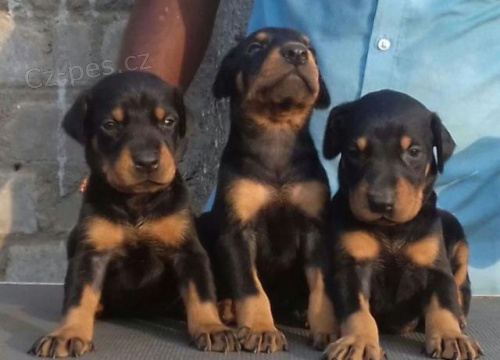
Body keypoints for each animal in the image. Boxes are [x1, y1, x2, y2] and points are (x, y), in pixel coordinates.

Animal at [28, 71, 238, 358]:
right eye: (110, 125)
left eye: (168, 121)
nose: (147, 162)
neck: (137, 200)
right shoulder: (91, 253)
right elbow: (78, 296)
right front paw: (68, 334)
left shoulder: (188, 250)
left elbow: (200, 291)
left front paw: (211, 327)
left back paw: (225, 308)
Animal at [199, 27, 336, 352]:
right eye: (254, 48)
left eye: (312, 49)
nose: (297, 52)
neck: (276, 130)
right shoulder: (236, 231)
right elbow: (251, 287)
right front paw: (262, 329)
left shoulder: (316, 229)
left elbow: (322, 285)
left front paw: (328, 329)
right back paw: (226, 306)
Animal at [322, 89, 482, 360]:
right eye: (354, 151)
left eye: (414, 152)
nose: (381, 203)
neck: (391, 229)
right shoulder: (353, 266)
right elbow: (357, 310)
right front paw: (359, 341)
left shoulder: (435, 267)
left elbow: (444, 303)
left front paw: (451, 337)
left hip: (455, 232)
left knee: (461, 283)